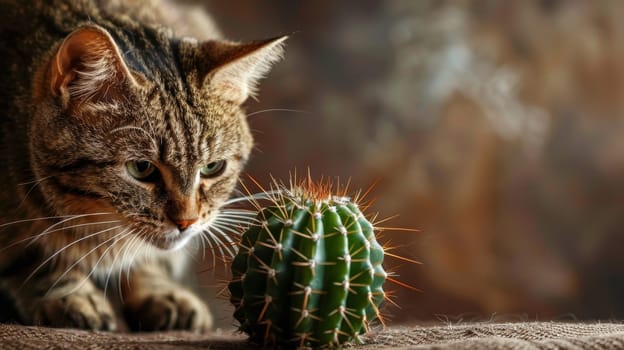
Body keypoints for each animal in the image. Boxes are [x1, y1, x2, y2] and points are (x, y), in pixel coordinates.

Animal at [0, 0, 286, 332]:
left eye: (213, 167)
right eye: (141, 168)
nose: (187, 222)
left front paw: (159, 290)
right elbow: (35, 257)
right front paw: (71, 295)